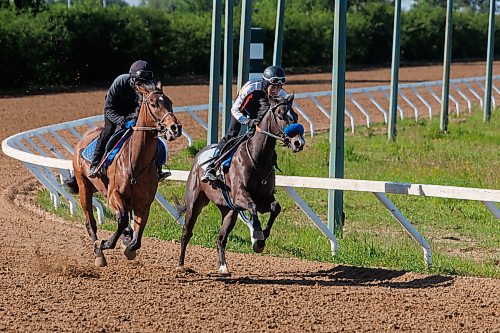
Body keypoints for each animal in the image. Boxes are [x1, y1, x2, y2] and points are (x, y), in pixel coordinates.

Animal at [68, 81, 182, 266]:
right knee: (90, 222)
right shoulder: (113, 194)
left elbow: (137, 238)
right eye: (153, 104)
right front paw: (104, 243)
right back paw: (99, 254)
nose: (175, 127)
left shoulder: (144, 203)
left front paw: (128, 245)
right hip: (84, 187)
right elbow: (121, 219)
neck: (136, 162)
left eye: (170, 102)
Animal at [178, 94, 306, 274]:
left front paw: (262, 238)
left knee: (220, 238)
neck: (258, 157)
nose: (298, 142)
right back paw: (181, 265)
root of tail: (199, 156)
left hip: (229, 211)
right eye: (281, 115)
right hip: (194, 203)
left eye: (296, 116)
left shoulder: (263, 199)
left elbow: (275, 207)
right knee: (186, 232)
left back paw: (223, 266)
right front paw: (257, 236)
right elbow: (252, 206)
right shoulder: (240, 196)